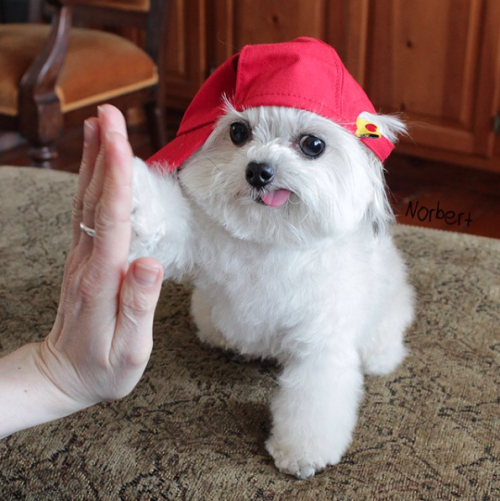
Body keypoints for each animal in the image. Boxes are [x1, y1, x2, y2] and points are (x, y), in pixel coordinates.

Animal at [129, 38, 414, 476]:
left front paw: (300, 453)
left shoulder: (320, 342)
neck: (271, 239)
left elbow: (313, 401)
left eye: (313, 145)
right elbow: (166, 225)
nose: (258, 170)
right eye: (238, 131)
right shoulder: (198, 239)